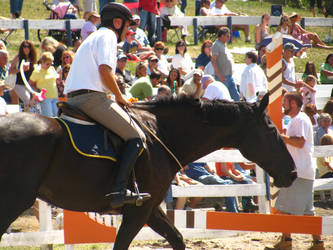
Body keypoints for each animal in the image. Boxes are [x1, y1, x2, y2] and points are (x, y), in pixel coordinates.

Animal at [0, 94, 296, 250]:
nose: (292, 173)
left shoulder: (150, 209)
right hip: (14, 201)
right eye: (272, 130)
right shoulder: (138, 212)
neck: (161, 133)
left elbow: (177, 238)